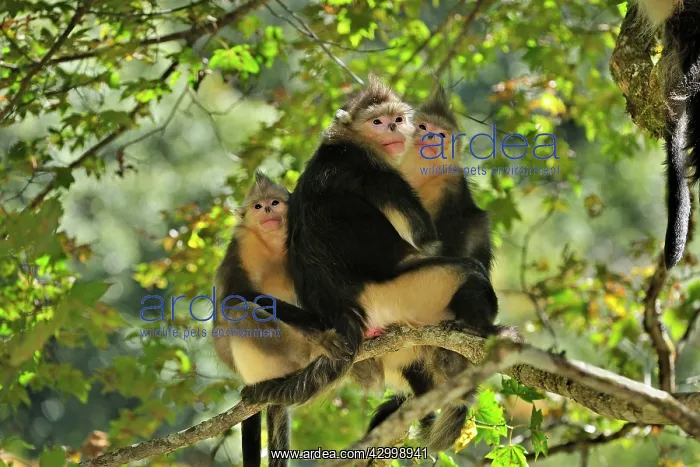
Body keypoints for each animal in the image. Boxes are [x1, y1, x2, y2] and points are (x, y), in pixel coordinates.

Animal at [238, 74, 502, 416]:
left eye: (397, 119)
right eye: (377, 121)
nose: (393, 128)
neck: (344, 145)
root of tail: (344, 314)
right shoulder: (377, 173)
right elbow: (426, 240)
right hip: (407, 295)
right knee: (469, 271)